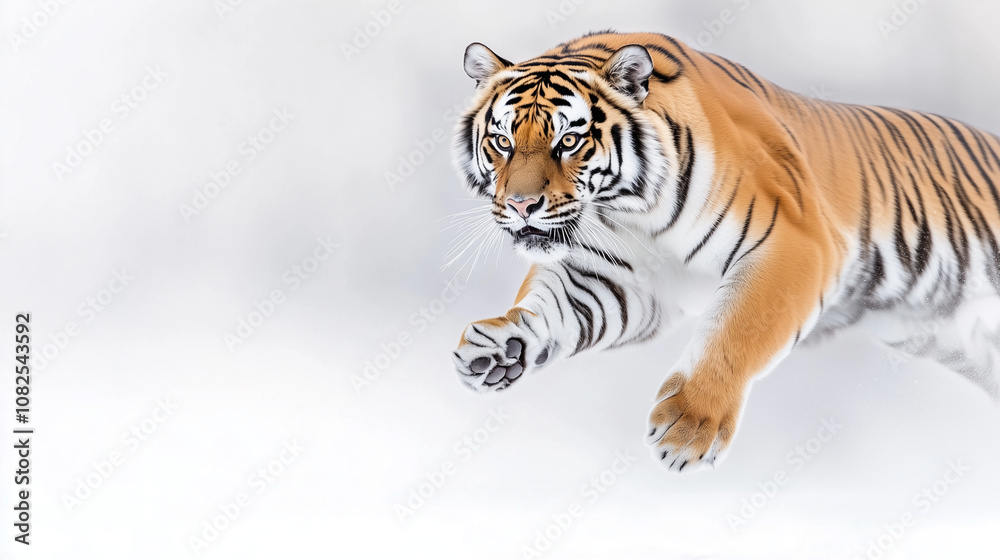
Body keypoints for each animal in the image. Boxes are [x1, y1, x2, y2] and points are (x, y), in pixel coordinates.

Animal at [450, 31, 1000, 472]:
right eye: (501, 141)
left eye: (568, 141)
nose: (521, 205)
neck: (626, 211)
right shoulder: (614, 280)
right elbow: (549, 306)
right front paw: (499, 347)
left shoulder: (793, 244)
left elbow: (738, 329)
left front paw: (691, 425)